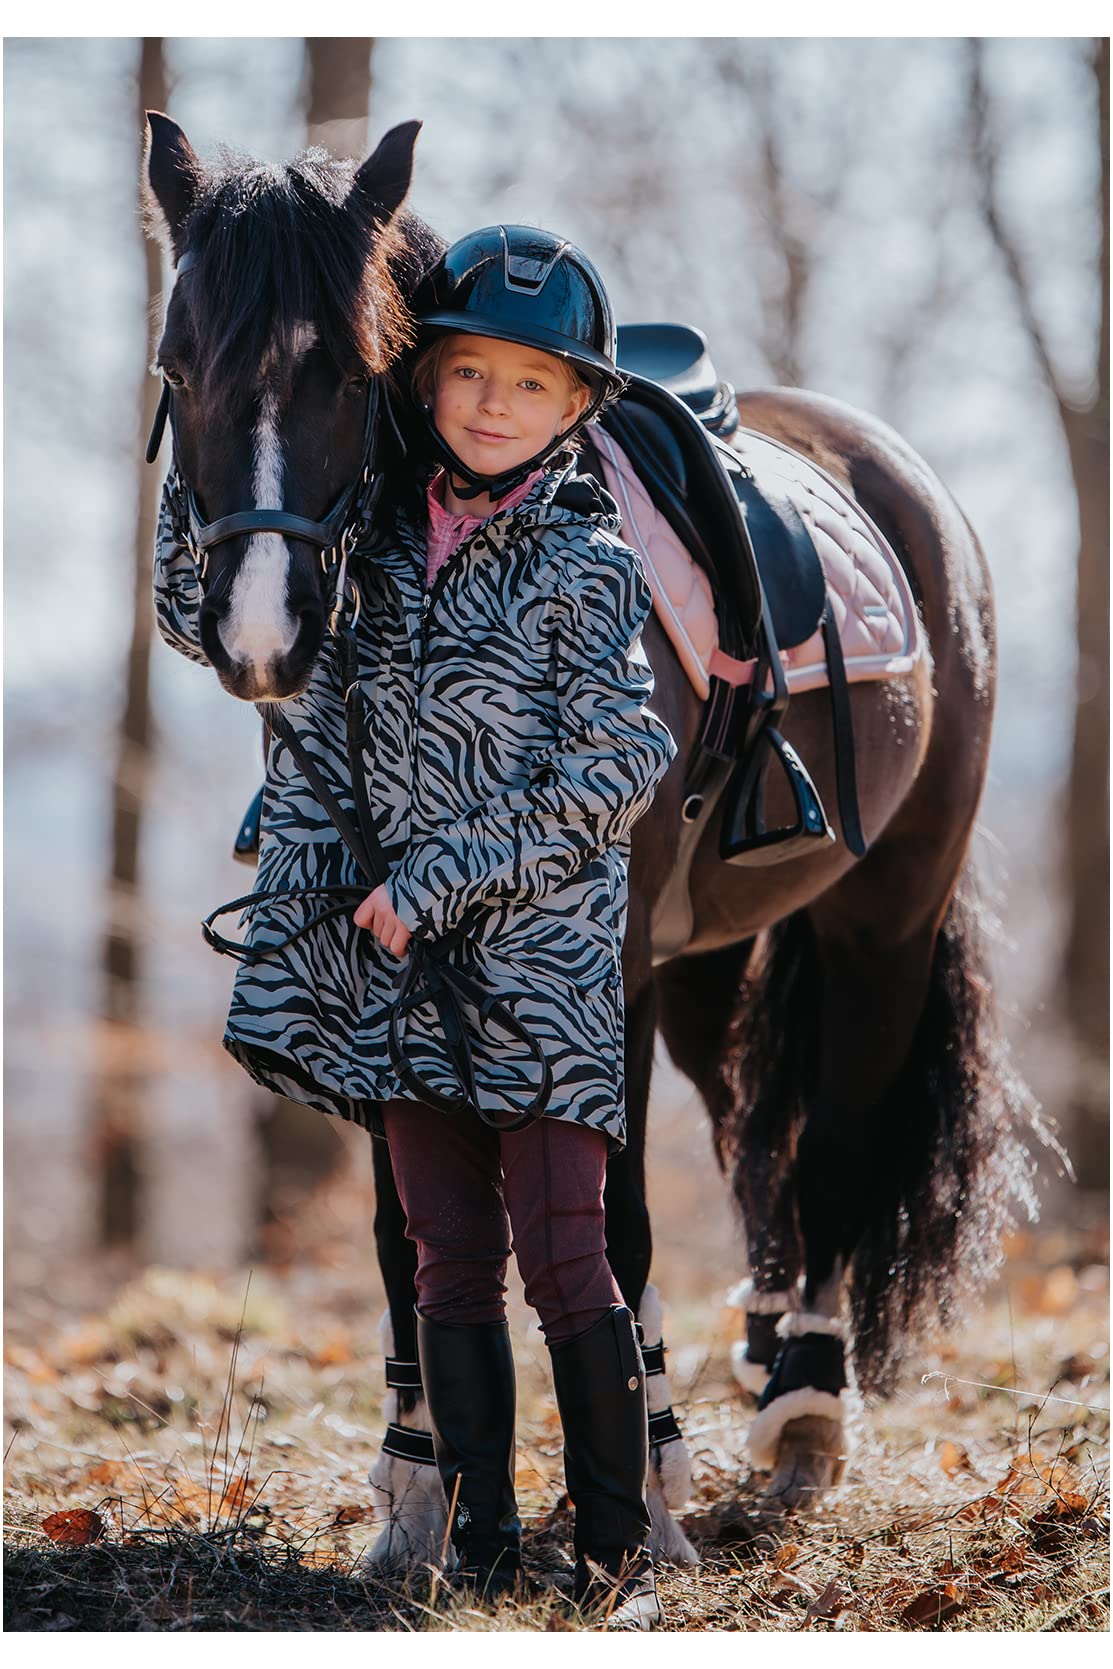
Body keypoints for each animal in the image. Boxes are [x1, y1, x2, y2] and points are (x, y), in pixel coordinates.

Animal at [142, 112, 1048, 1561]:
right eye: (179, 367)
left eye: (356, 370)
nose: (264, 633)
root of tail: (901, 483)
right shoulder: (376, 946)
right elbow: (408, 1228)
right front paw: (420, 1486)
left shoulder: (599, 954)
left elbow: (609, 1220)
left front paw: (651, 1489)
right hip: (708, 961)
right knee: (753, 1131)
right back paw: (758, 1353)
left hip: (882, 916)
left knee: (837, 1140)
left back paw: (806, 1406)